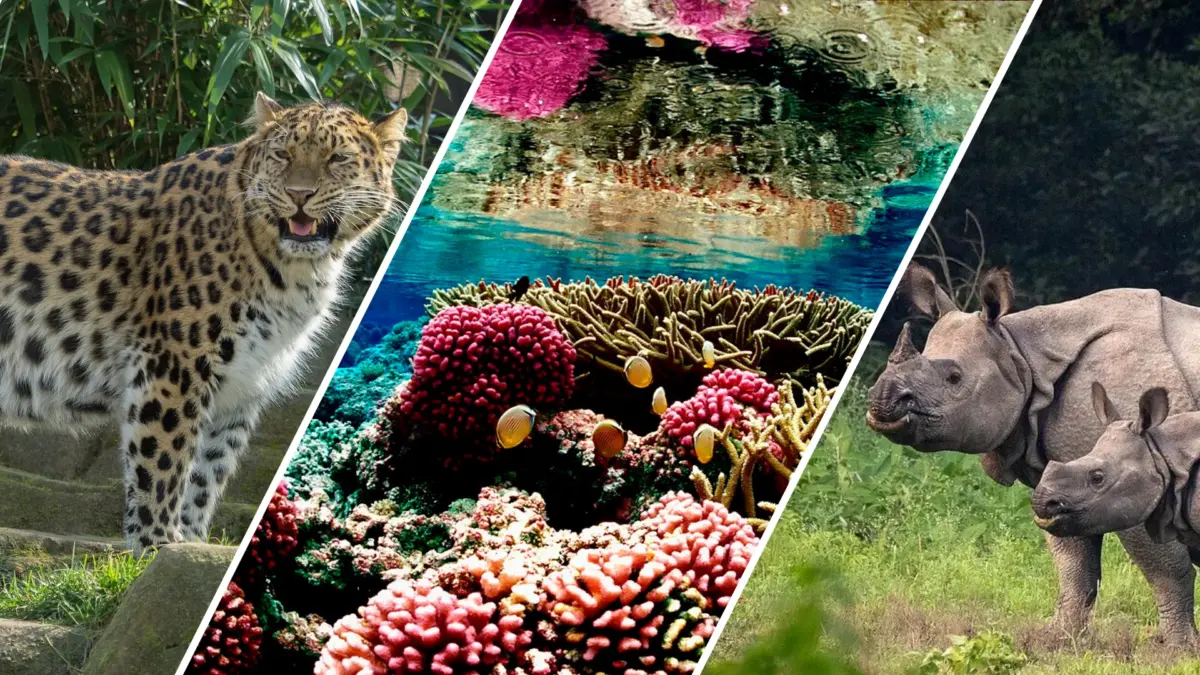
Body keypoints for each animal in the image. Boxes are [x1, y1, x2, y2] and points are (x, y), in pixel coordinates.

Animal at [0, 92, 407, 550]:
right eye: (282, 155)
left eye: (338, 158)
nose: (299, 194)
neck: (292, 269)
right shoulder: (173, 365)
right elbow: (163, 464)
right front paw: (156, 545)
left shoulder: (243, 383)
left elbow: (207, 473)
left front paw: (189, 545)